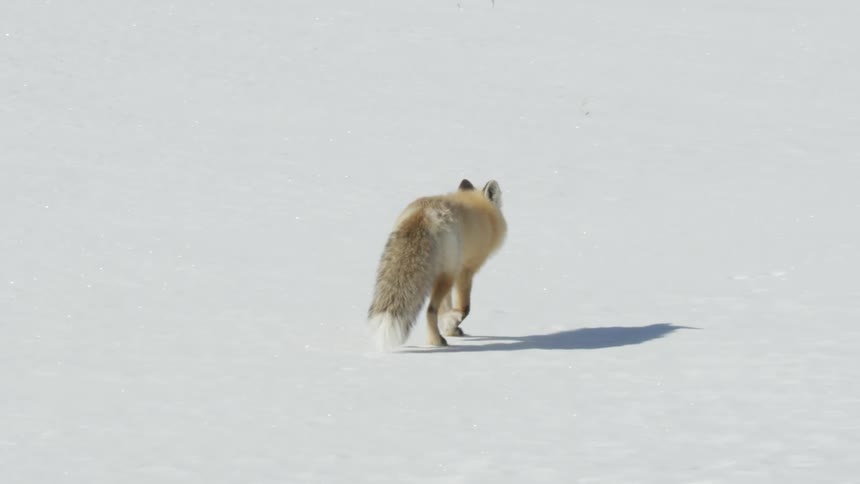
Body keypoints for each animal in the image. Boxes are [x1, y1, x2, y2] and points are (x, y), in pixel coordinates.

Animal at [367, 178, 507, 350]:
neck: (484, 217)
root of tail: (424, 213)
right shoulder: (464, 270)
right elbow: (464, 308)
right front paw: (452, 322)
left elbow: (446, 308)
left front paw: (449, 329)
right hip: (447, 275)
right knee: (430, 309)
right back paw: (436, 342)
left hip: (441, 274)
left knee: (435, 309)